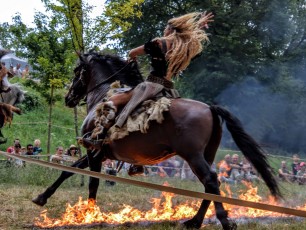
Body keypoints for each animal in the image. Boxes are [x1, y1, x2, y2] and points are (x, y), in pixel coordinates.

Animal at [31, 51, 280, 229]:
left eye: (77, 71)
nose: (69, 98)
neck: (104, 95)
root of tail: (209, 107)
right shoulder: (99, 152)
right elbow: (68, 171)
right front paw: (42, 197)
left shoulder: (95, 151)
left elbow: (92, 182)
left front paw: (90, 214)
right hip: (205, 155)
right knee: (209, 184)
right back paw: (195, 221)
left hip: (192, 156)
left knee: (210, 180)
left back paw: (222, 221)